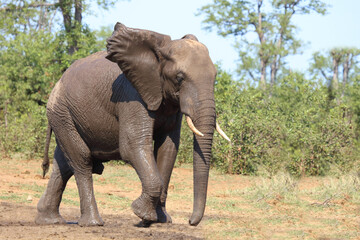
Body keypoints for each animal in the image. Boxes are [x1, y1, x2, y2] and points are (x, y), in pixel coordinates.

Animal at [35, 22, 229, 227]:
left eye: (215, 77)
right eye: (179, 78)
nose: (191, 221)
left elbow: (168, 149)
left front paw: (160, 220)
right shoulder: (132, 94)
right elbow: (133, 146)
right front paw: (143, 214)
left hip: (64, 115)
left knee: (64, 164)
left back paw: (49, 220)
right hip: (61, 111)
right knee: (81, 160)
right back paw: (93, 223)